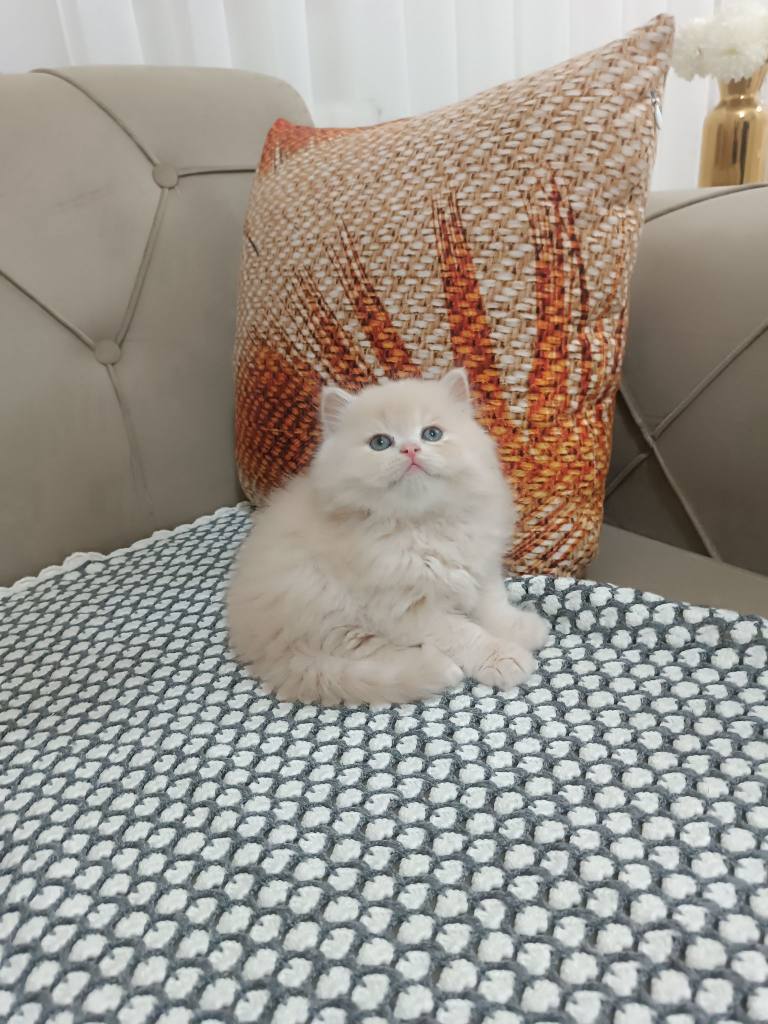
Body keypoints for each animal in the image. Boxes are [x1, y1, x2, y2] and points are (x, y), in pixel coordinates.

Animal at [227, 367, 550, 705]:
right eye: (380, 442)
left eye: (431, 434)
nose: (410, 449)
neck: (423, 526)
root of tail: (261, 649)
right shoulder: (406, 609)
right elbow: (465, 634)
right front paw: (504, 658)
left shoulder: (480, 567)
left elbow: (492, 606)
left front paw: (522, 628)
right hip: (330, 609)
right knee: (375, 658)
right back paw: (440, 667)